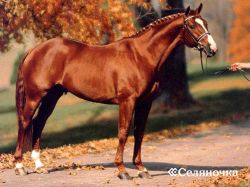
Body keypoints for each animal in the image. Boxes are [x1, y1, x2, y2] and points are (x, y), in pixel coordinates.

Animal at [14, 4, 217, 179]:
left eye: (206, 24)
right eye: (192, 25)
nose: (212, 48)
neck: (141, 55)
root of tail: (34, 50)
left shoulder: (145, 102)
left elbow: (139, 132)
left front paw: (141, 169)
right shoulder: (127, 101)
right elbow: (123, 133)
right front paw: (122, 170)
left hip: (51, 97)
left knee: (39, 123)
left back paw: (39, 166)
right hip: (35, 96)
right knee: (25, 122)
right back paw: (19, 166)